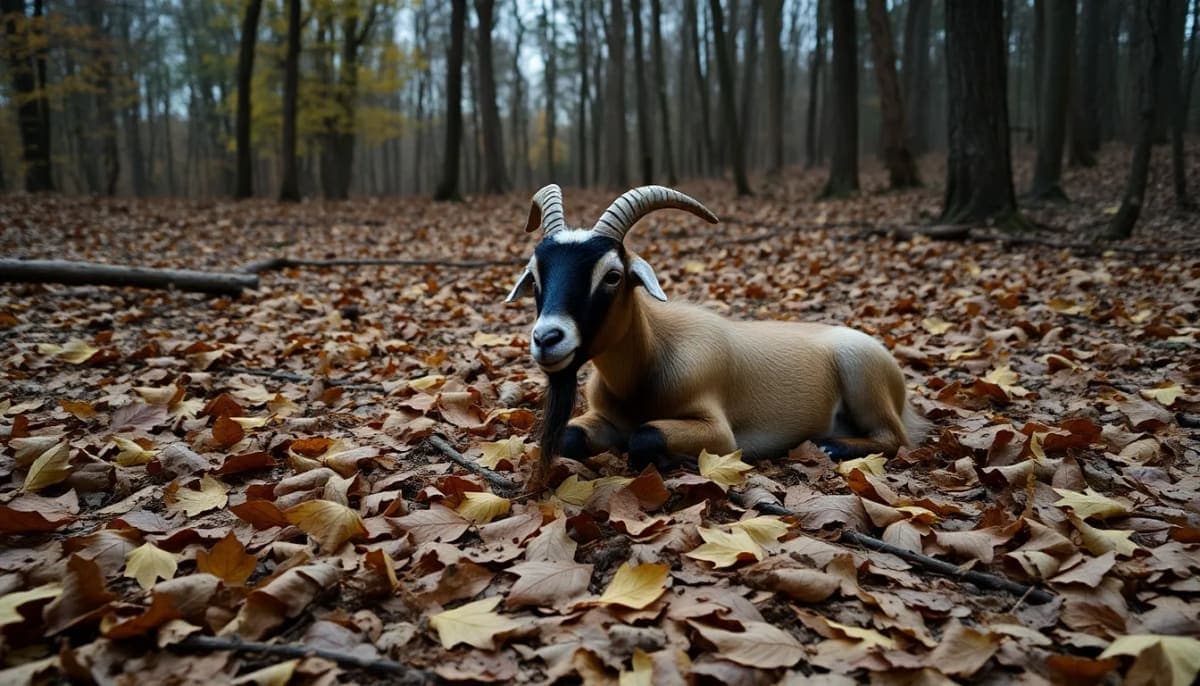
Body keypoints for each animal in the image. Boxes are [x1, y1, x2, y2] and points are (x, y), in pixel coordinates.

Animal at [506, 184, 927, 488]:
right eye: (536, 274)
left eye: (612, 275)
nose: (547, 338)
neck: (649, 363)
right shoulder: (603, 417)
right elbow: (571, 438)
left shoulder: (719, 434)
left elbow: (645, 436)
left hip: (863, 377)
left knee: (896, 438)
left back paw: (830, 444)